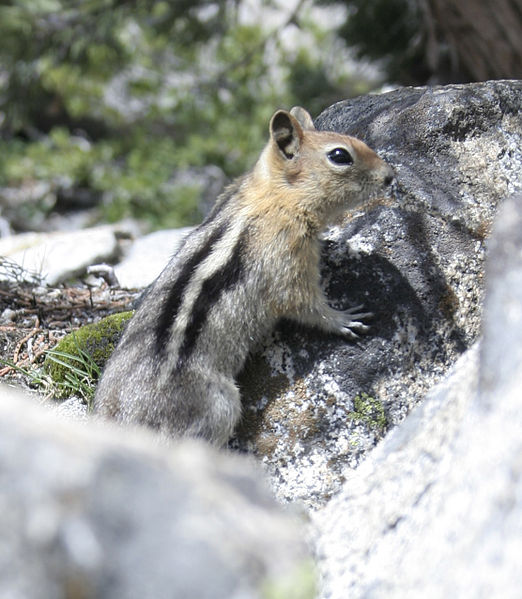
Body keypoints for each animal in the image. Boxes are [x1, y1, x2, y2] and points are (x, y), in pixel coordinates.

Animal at [94, 106, 394, 446]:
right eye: (340, 155)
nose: (390, 176)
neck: (275, 194)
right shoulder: (287, 259)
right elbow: (304, 303)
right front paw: (344, 319)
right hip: (220, 404)